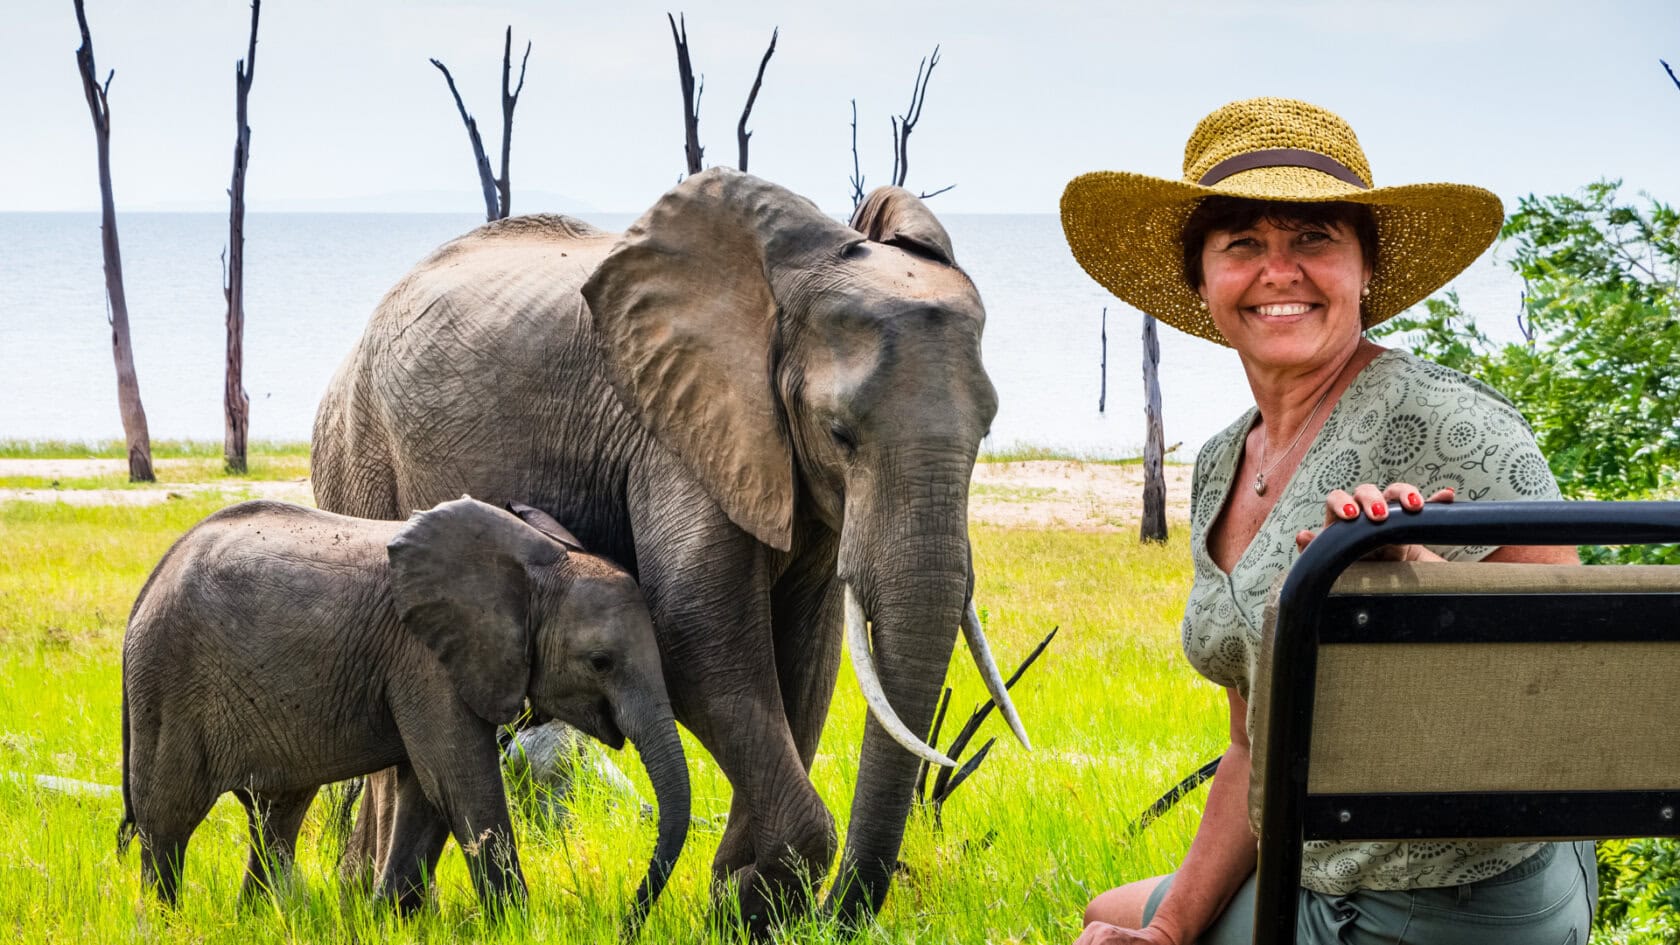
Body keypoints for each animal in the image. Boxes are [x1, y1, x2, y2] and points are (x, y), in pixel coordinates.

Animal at [118, 496, 688, 934]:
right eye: (601, 662)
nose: (626, 923)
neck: (536, 566)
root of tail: (149, 585)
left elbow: (426, 793)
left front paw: (384, 922)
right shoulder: (426, 659)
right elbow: (460, 784)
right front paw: (518, 928)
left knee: (276, 817)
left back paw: (255, 921)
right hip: (168, 682)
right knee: (167, 823)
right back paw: (165, 926)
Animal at [311, 167, 1028, 932]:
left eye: (987, 431)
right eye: (839, 433)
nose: (833, 917)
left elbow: (807, 656)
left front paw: (743, 902)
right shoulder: (672, 429)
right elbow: (696, 635)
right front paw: (753, 901)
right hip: (358, 455)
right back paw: (379, 912)